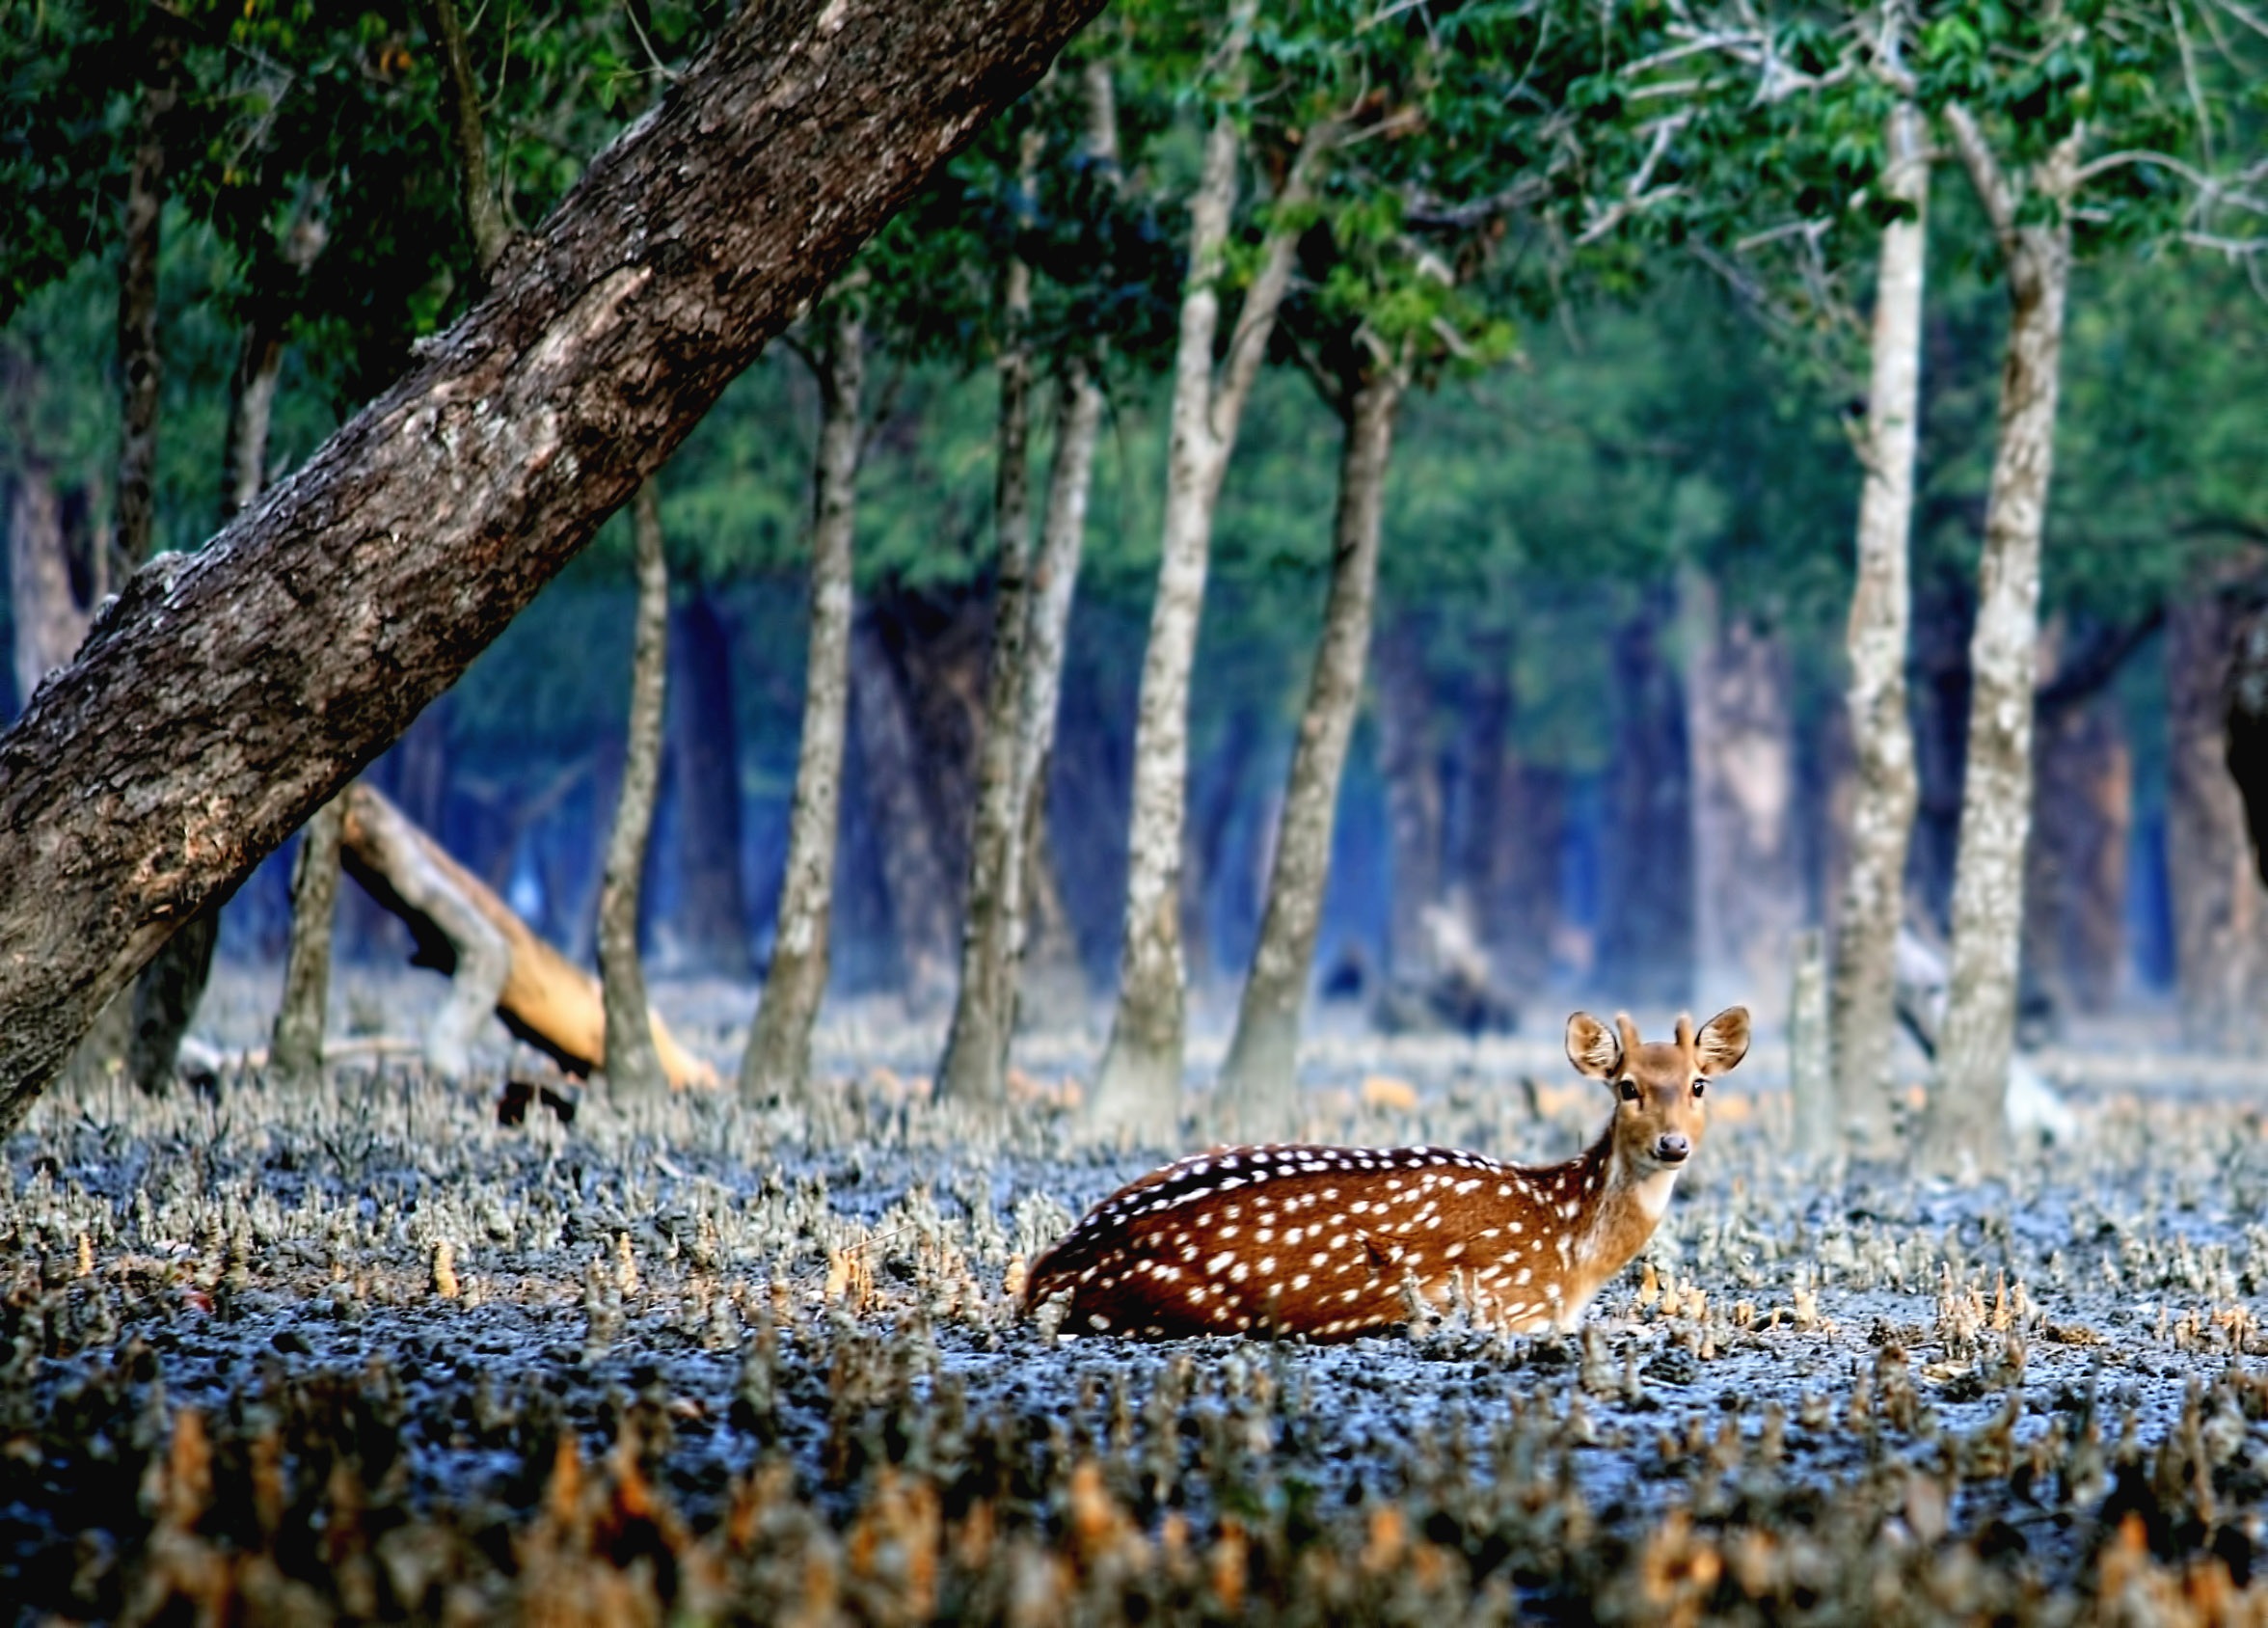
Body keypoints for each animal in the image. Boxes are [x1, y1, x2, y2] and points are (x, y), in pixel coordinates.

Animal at [1029, 1016, 1750, 1342]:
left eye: (1698, 1084)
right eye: (1626, 1086)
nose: (1673, 1144)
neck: (1568, 1245)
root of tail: (1046, 1273)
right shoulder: (1508, 1301)